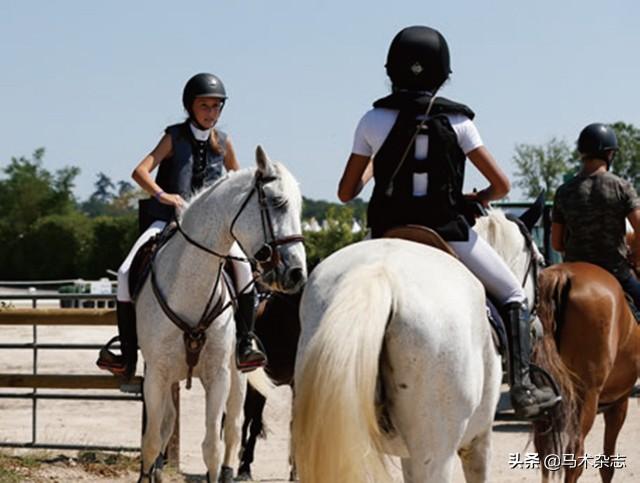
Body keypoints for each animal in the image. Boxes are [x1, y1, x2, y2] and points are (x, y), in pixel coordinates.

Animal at [135, 147, 308, 483]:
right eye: (277, 202)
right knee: (167, 427)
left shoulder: (219, 376)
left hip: (239, 379)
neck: (190, 287)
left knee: (233, 430)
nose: (296, 273)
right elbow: (151, 442)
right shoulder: (156, 376)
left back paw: (234, 471)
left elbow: (213, 447)